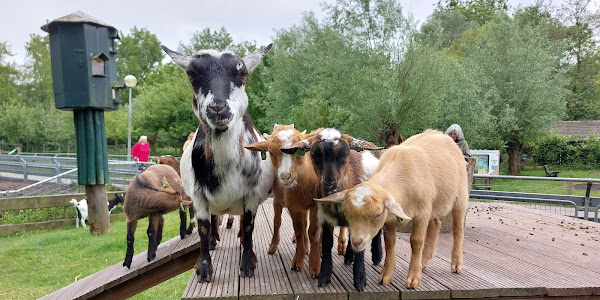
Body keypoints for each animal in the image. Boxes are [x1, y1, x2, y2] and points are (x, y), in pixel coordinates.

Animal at [164, 44, 276, 282]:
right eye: (192, 73)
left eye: (242, 73)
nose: (218, 107)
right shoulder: (198, 196)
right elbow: (203, 228)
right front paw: (204, 268)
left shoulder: (252, 194)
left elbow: (250, 225)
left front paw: (248, 265)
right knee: (214, 219)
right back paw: (215, 240)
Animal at [314, 130, 468, 290]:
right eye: (347, 214)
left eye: (377, 214)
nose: (356, 242)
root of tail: (440, 134)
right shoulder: (390, 220)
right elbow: (389, 243)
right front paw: (386, 276)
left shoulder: (422, 213)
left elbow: (417, 241)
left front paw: (413, 278)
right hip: (434, 204)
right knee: (436, 223)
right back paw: (423, 262)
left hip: (460, 196)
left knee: (457, 228)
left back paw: (456, 264)